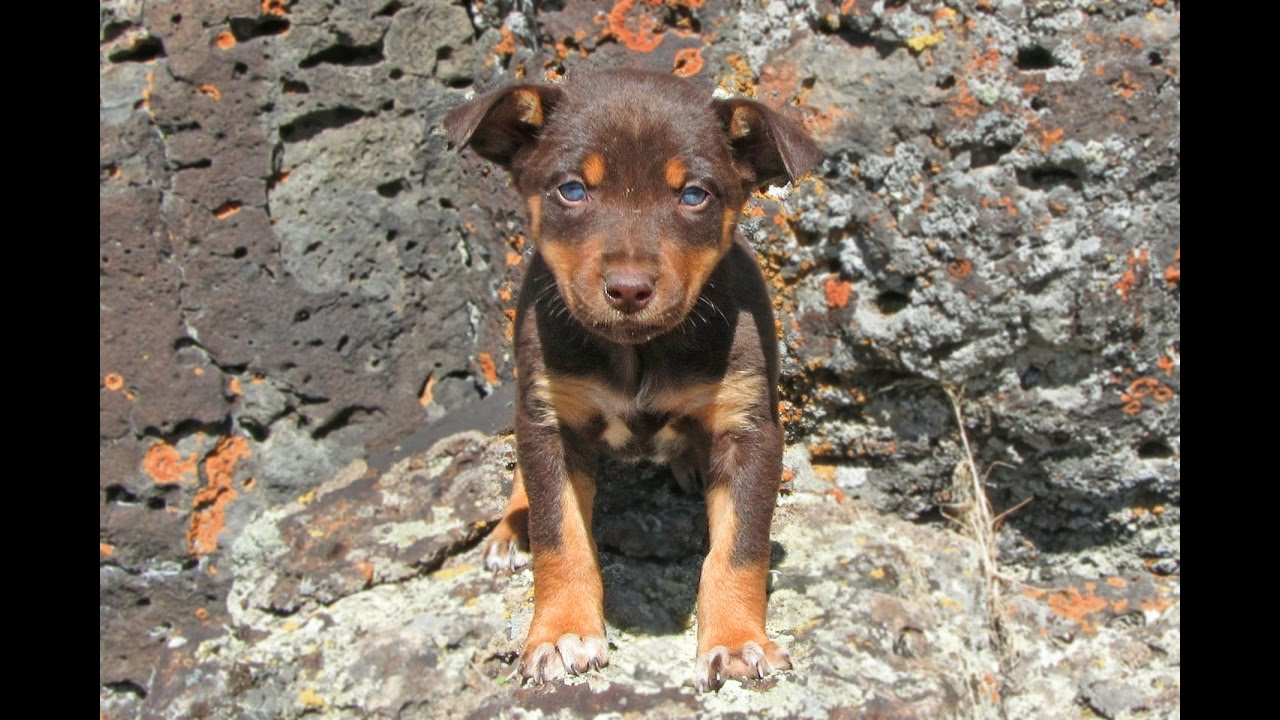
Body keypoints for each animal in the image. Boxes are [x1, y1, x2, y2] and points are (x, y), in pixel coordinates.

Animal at [442, 68, 819, 691]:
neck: (639, 350)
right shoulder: (551, 419)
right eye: (572, 190)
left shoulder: (750, 430)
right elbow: (560, 536)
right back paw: (510, 529)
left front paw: (736, 641)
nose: (628, 289)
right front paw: (560, 633)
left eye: (694, 195)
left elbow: (740, 549)